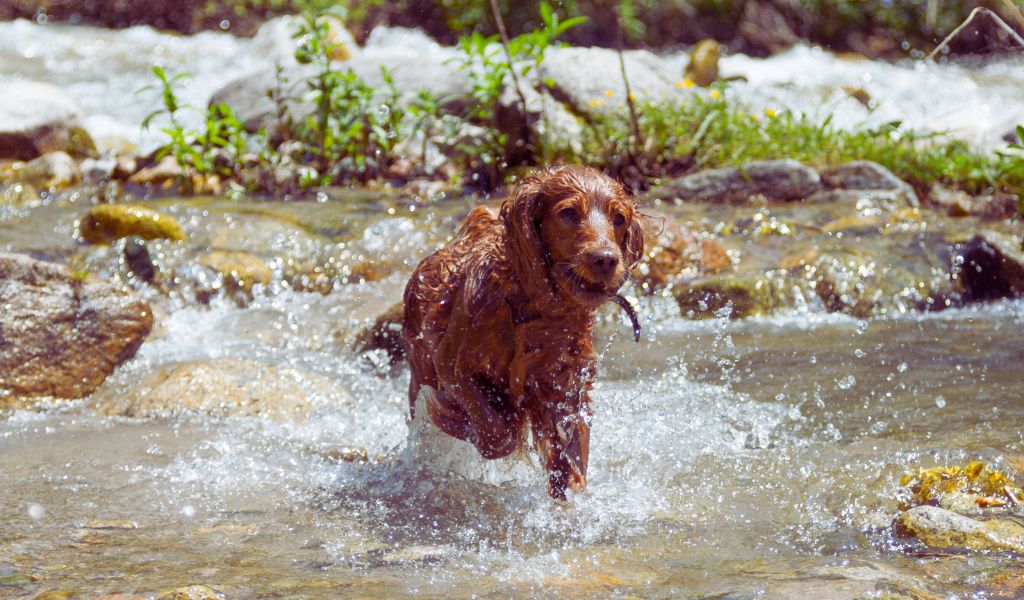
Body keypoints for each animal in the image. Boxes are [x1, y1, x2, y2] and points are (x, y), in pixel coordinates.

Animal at [399, 164, 638, 499]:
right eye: (567, 213)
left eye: (619, 218)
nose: (605, 259)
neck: (531, 307)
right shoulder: (452, 367)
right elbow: (497, 434)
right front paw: (479, 422)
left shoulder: (567, 385)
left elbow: (571, 459)